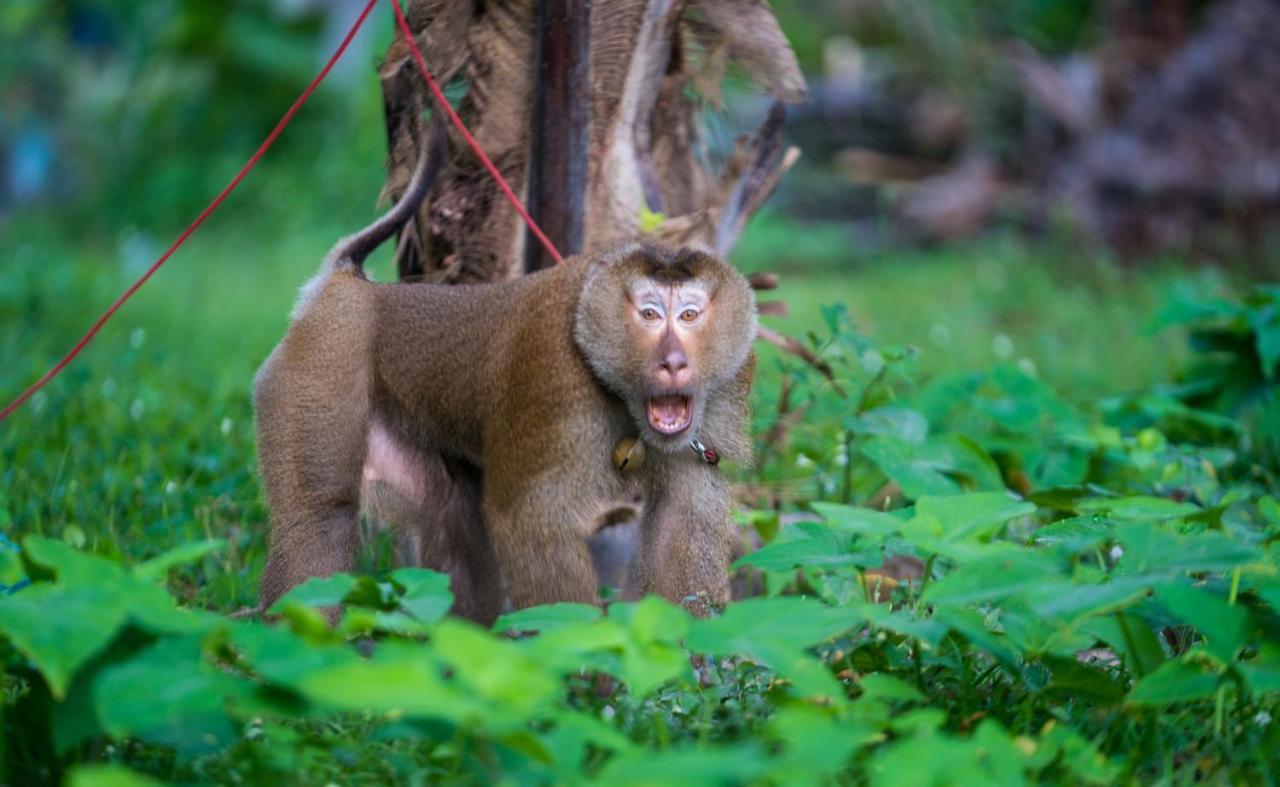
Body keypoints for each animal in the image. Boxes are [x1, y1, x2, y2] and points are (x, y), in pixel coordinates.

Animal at [257, 146, 757, 627]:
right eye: (650, 314)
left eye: (690, 315)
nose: (673, 362)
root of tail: (347, 285)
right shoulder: (551, 380)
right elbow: (529, 520)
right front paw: (586, 650)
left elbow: (679, 524)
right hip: (325, 359)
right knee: (322, 519)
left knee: (452, 518)